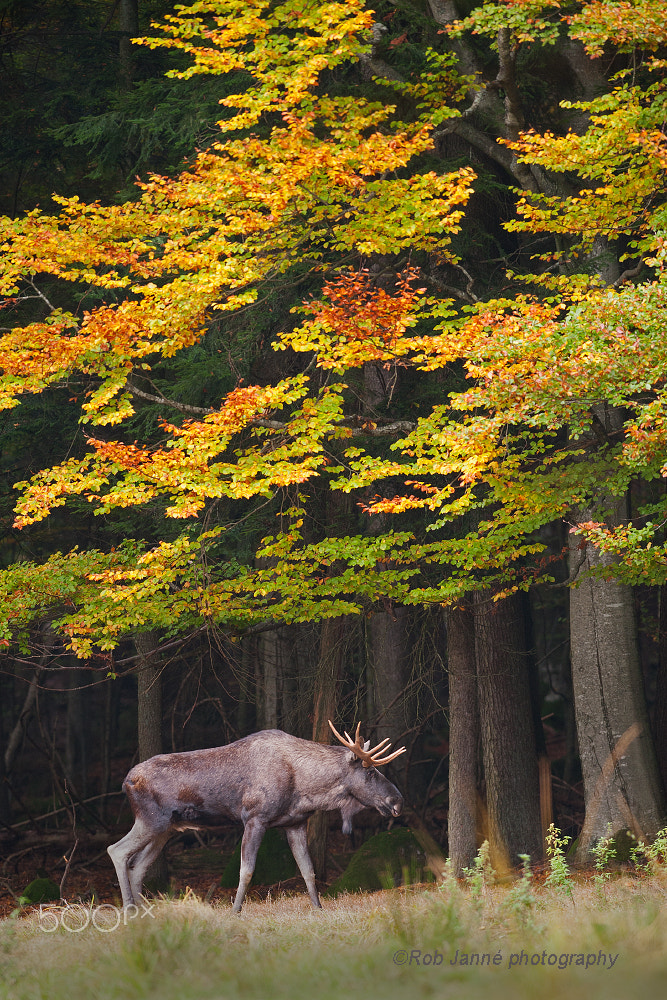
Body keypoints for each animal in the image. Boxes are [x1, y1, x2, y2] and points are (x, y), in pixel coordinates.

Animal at [107, 721, 406, 913]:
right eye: (370, 772)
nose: (397, 802)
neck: (306, 789)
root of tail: (125, 781)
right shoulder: (254, 818)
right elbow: (247, 870)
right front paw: (235, 910)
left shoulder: (296, 823)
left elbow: (308, 870)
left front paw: (319, 908)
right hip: (151, 819)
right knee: (117, 850)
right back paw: (130, 909)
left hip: (167, 828)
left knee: (138, 866)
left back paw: (146, 911)